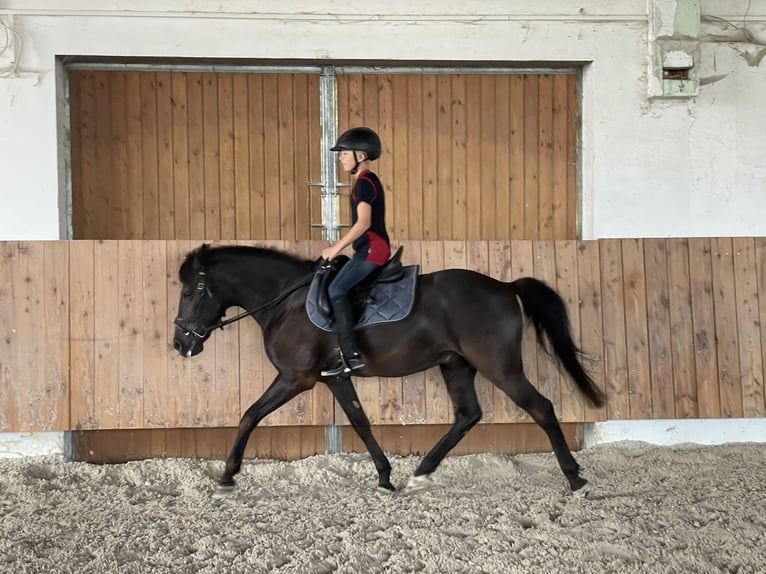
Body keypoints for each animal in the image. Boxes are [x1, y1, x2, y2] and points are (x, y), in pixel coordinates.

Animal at [172, 243, 608, 496]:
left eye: (191, 291)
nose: (180, 343)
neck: (287, 301)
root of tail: (504, 286)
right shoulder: (336, 379)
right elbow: (360, 423)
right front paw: (384, 477)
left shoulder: (296, 378)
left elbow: (249, 415)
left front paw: (227, 477)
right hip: (456, 365)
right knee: (467, 415)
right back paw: (421, 473)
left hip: (499, 366)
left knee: (541, 408)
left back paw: (575, 478)